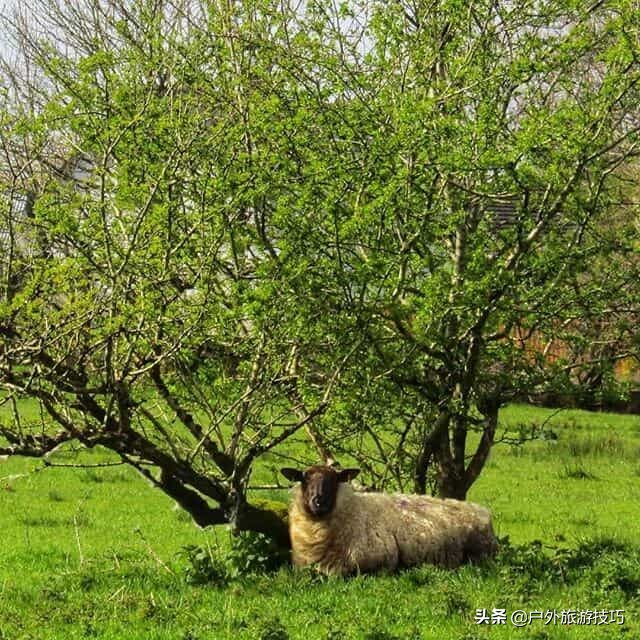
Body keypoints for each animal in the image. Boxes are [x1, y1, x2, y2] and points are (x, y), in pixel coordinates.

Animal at [282, 464, 500, 576]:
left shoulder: (379, 563)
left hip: (478, 555)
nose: (318, 501)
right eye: (304, 479)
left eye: (334, 480)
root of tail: (482, 511)